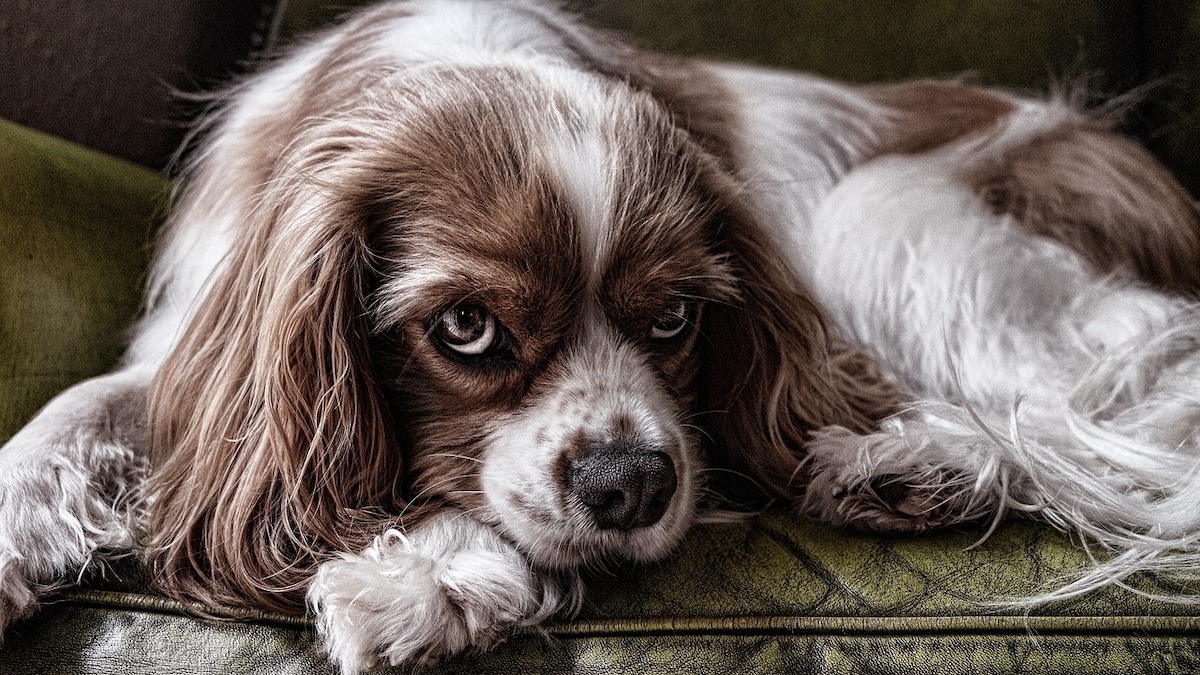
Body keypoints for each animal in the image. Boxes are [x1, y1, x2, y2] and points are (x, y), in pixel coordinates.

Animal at [2, 0, 1200, 667]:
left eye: (673, 317)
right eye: (467, 327)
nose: (631, 485)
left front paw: (430, 574)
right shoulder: (206, 343)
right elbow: (76, 410)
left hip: (892, 215)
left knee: (1098, 414)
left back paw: (914, 460)